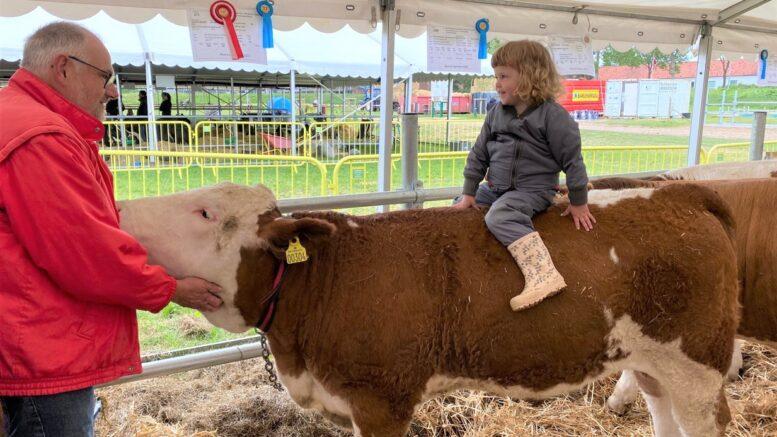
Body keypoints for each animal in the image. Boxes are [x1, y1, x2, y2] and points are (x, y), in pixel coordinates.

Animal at [118, 182, 736, 436]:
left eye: (203, 213)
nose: (117, 208)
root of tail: (680, 193)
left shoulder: (381, 400)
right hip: (653, 362)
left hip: (698, 364)